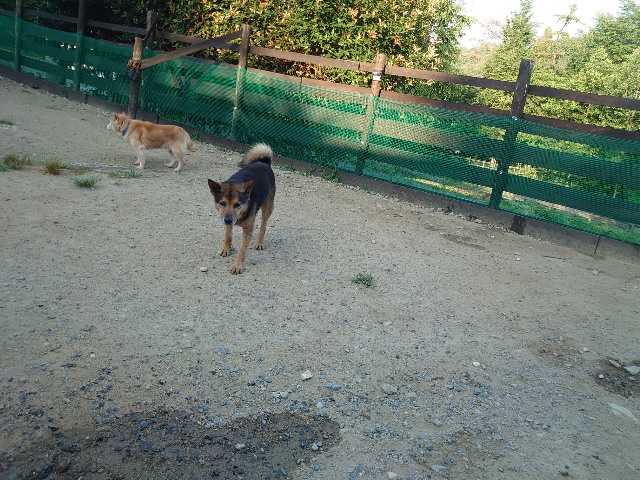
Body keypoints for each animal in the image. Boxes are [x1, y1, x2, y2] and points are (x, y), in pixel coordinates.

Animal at [208, 143, 275, 274]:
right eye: (222, 203)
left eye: (237, 204)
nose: (228, 220)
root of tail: (264, 163)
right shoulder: (226, 220)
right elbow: (228, 236)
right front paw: (226, 248)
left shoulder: (248, 229)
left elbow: (242, 250)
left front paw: (237, 266)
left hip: (268, 207)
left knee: (263, 226)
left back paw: (260, 242)